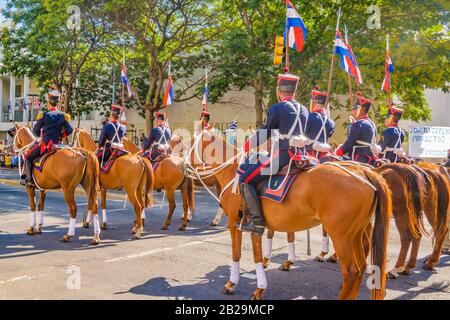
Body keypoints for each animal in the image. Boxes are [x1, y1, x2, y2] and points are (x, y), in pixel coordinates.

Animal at [185, 130, 390, 300]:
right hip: (355, 233)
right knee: (361, 266)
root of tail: (364, 172)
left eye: (191, 144)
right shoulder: (257, 226)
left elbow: (238, 254)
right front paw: (262, 283)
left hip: (341, 236)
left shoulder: (235, 223)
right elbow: (260, 252)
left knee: (351, 272)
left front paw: (234, 284)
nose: (185, 167)